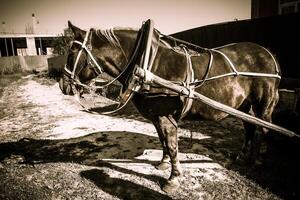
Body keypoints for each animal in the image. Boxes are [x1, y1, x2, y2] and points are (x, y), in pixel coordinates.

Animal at [59, 19, 282, 192]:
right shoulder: (156, 117)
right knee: (249, 126)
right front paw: (163, 163)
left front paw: (173, 179)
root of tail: (269, 55)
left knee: (262, 128)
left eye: (72, 53)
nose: (62, 84)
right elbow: (163, 142)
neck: (147, 65)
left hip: (263, 104)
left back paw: (254, 159)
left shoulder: (166, 117)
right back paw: (243, 155)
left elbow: (173, 146)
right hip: (243, 105)